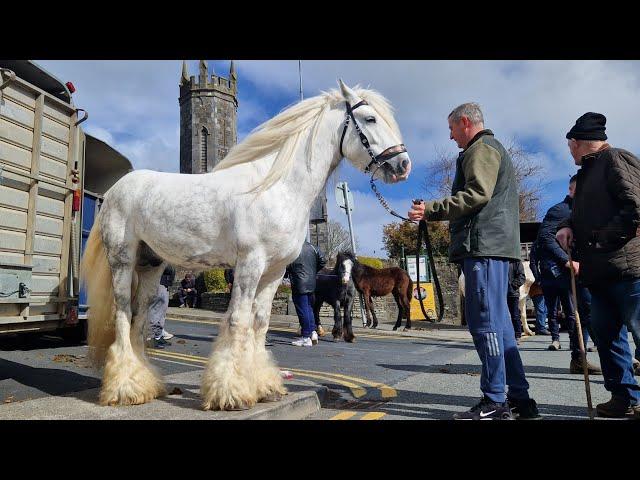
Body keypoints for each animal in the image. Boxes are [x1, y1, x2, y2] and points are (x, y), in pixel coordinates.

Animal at [80, 80, 412, 410]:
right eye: (370, 119)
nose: (403, 164)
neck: (277, 187)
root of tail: (115, 189)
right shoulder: (250, 264)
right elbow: (238, 321)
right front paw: (231, 393)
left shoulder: (275, 272)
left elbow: (260, 322)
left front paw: (263, 386)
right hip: (122, 261)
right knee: (123, 314)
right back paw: (123, 389)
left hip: (150, 266)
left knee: (139, 317)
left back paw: (143, 385)